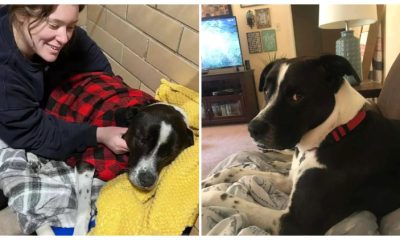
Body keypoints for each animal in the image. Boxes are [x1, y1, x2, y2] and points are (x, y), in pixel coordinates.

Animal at [203, 54, 400, 234]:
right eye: (266, 91)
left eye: (297, 96)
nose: (252, 129)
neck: (333, 134)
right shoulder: (290, 180)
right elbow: (241, 171)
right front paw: (210, 180)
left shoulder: (294, 223)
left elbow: (227, 198)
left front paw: (205, 195)